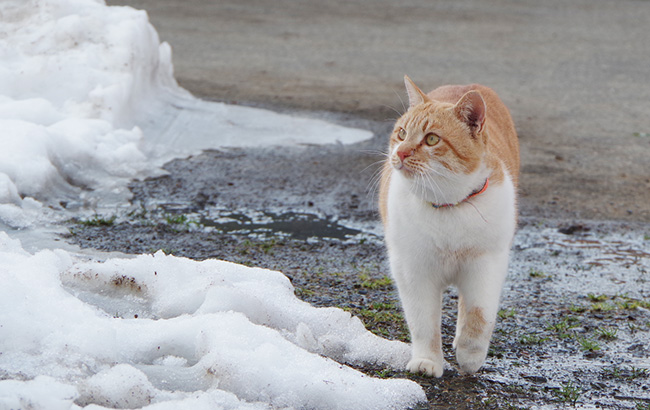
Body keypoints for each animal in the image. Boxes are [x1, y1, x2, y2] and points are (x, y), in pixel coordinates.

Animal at [378, 76, 520, 378]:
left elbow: (479, 316)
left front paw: (470, 355)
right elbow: (423, 322)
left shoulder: (487, 264)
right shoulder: (413, 270)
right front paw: (427, 361)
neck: (448, 207)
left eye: (432, 139)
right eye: (402, 134)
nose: (401, 153)